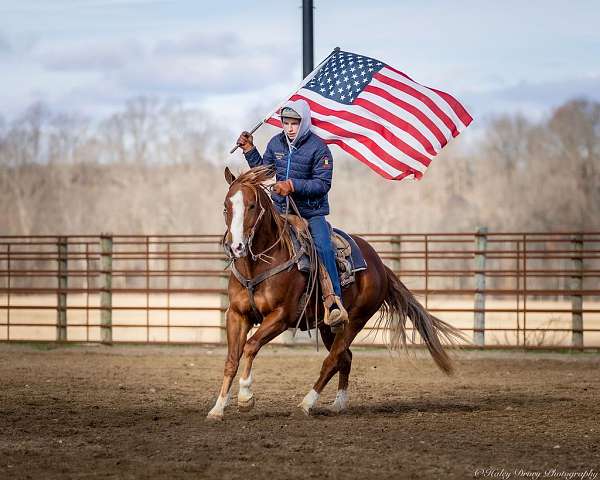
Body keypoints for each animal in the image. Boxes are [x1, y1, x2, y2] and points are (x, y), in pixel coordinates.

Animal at [209, 166, 466, 420]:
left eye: (252, 205)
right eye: (226, 206)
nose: (236, 247)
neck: (259, 266)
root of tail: (380, 265)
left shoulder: (281, 317)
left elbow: (251, 346)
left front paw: (245, 397)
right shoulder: (236, 315)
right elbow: (232, 359)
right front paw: (218, 408)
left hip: (355, 320)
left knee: (332, 360)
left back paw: (306, 404)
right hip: (327, 326)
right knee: (345, 357)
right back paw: (339, 403)